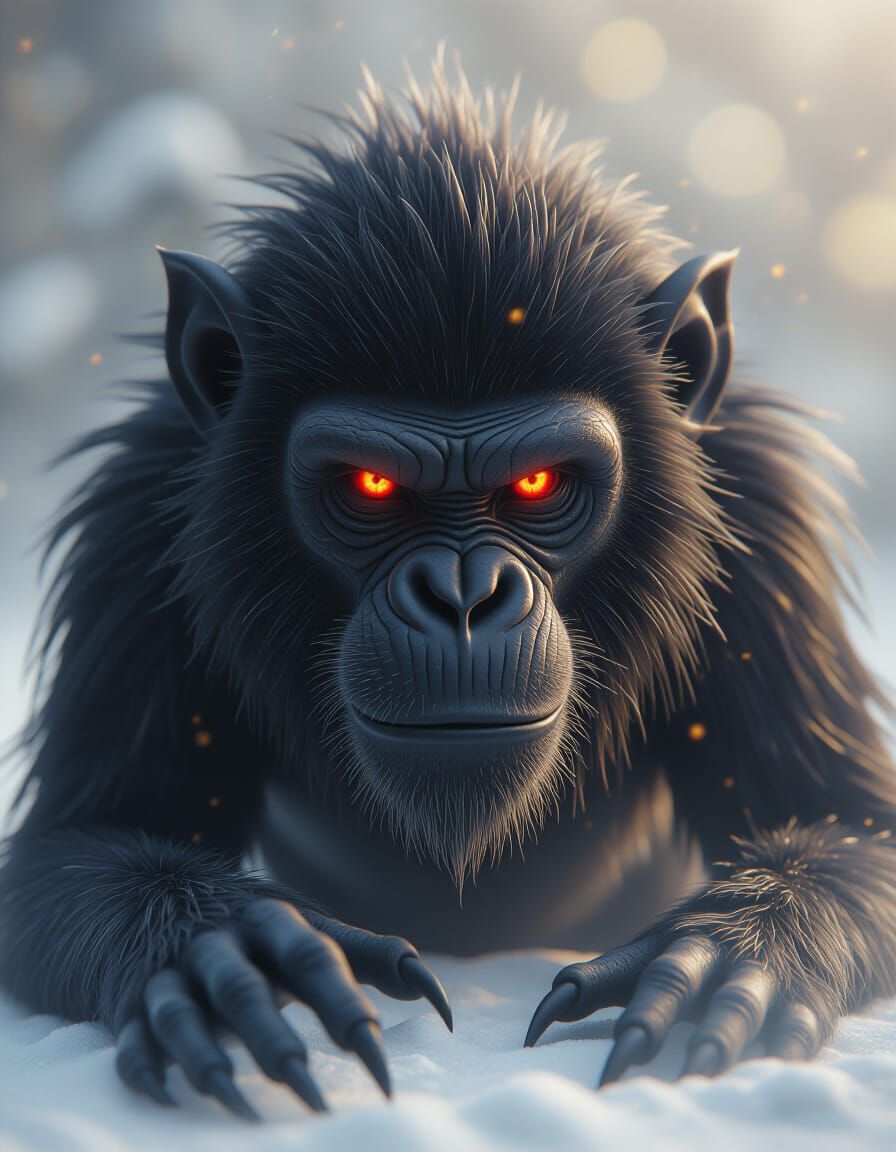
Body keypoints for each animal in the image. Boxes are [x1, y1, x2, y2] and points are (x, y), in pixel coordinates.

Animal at [1, 55, 895, 1118]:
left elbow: (852, 823)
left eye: (539, 484)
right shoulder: (133, 520)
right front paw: (215, 949)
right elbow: (77, 842)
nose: (462, 594)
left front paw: (733, 949)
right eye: (371, 486)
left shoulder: (766, 516)